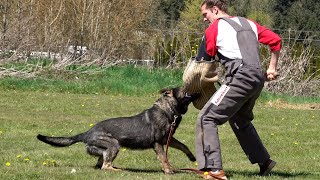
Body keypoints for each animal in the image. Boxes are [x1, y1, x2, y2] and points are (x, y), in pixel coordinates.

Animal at [36, 86, 199, 174]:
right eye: (185, 89)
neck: (168, 110)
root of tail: (86, 133)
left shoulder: (167, 139)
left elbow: (183, 145)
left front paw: (191, 158)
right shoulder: (158, 143)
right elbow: (163, 158)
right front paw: (168, 171)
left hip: (106, 149)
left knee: (101, 163)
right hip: (114, 144)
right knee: (105, 166)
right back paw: (120, 170)